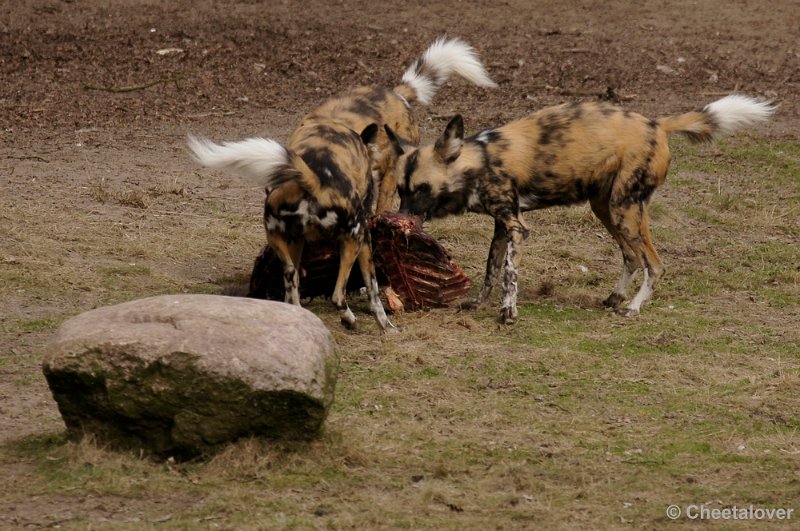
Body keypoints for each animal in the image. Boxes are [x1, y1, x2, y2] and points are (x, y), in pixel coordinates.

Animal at [187, 37, 494, 330]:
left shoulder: (298, 241)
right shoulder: (363, 236)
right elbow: (372, 290)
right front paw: (383, 321)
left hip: (281, 237)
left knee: (293, 282)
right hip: (361, 226)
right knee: (338, 293)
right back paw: (354, 318)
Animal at [388, 95, 776, 324]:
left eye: (422, 189)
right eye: (400, 191)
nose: (403, 218)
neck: (478, 163)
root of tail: (656, 124)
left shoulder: (516, 227)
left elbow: (509, 274)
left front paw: (508, 312)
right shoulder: (502, 224)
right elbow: (490, 270)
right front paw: (478, 302)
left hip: (624, 210)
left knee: (655, 264)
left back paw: (632, 308)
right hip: (608, 208)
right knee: (632, 256)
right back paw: (616, 297)